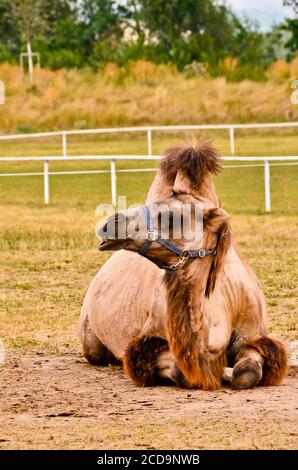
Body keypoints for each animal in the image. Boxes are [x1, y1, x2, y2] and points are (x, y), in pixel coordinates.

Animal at [78, 141, 286, 392]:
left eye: (171, 217)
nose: (109, 224)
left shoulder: (254, 335)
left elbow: (246, 373)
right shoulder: (149, 343)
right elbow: (181, 373)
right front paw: (217, 372)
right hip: (91, 340)